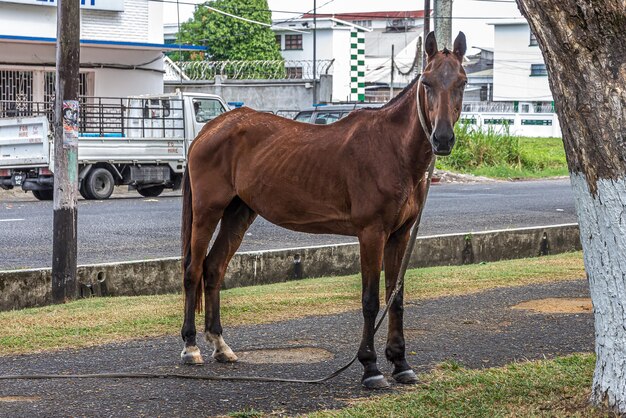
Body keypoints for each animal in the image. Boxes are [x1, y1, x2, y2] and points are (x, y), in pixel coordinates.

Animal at [178, 31, 466, 388]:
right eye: (426, 82)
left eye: (462, 82)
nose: (443, 138)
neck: (392, 148)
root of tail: (211, 127)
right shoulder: (372, 234)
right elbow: (370, 300)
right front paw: (371, 367)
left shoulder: (400, 235)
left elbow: (395, 297)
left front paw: (400, 363)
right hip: (208, 211)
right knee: (193, 270)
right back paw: (191, 348)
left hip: (238, 213)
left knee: (214, 268)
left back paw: (220, 345)